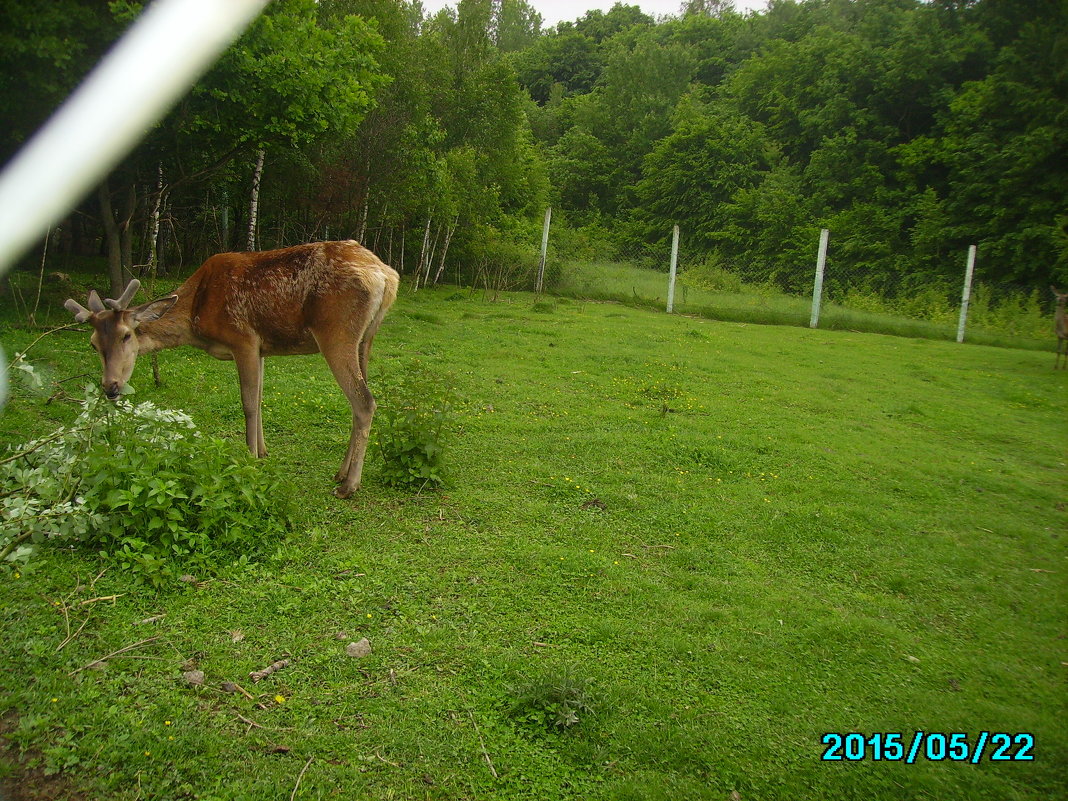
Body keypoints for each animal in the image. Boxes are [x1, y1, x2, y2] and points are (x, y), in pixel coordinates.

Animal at [65, 241, 401, 499]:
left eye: (126, 335)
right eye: (93, 344)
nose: (110, 387)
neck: (196, 315)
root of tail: (388, 275)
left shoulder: (244, 339)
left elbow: (248, 403)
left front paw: (249, 459)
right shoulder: (263, 348)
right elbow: (261, 399)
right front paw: (263, 452)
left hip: (335, 331)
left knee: (364, 401)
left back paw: (349, 486)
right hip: (366, 339)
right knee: (359, 401)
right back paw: (340, 472)